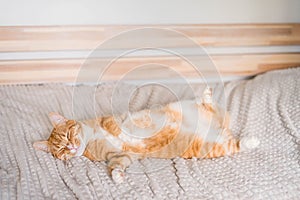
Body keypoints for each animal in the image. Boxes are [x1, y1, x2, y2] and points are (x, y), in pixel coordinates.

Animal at [32, 87, 258, 183]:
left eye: (68, 135)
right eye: (61, 150)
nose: (71, 147)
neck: (91, 138)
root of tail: (221, 127)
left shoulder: (114, 120)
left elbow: (118, 127)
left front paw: (123, 135)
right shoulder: (119, 156)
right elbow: (117, 165)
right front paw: (117, 176)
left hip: (188, 106)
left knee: (209, 105)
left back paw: (207, 95)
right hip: (211, 147)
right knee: (234, 144)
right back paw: (251, 141)